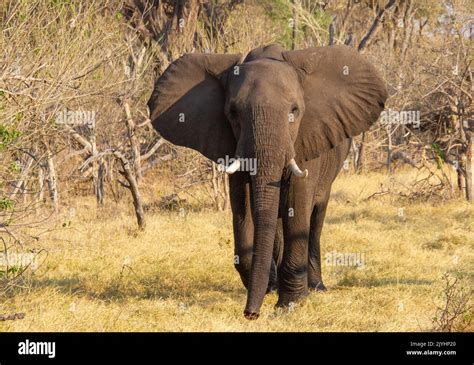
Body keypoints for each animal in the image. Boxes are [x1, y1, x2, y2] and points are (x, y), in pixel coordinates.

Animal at [148, 43, 388, 318]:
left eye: (294, 111)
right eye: (233, 113)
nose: (251, 314)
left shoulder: (307, 138)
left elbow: (298, 203)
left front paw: (291, 304)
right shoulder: (232, 143)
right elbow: (243, 208)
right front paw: (269, 288)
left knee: (316, 216)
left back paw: (316, 287)